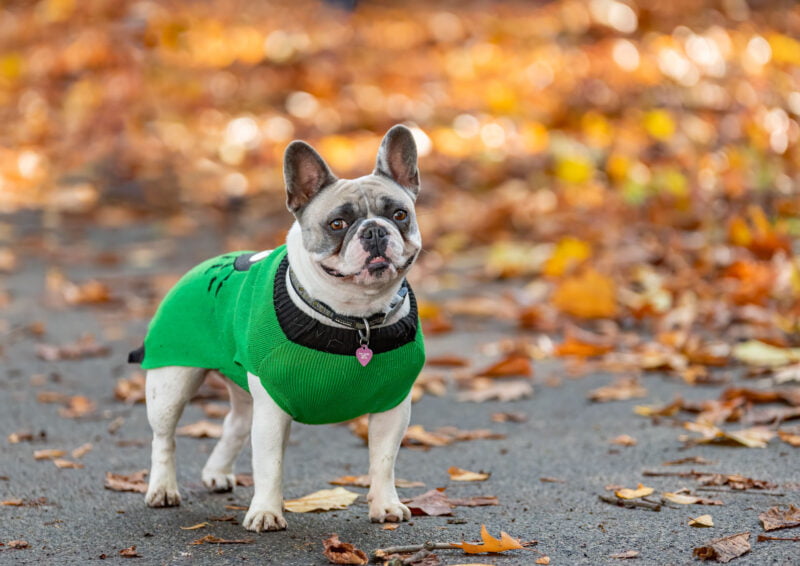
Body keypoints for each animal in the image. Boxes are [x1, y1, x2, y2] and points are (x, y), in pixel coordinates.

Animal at [130, 124, 424, 532]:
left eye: (399, 214)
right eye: (337, 224)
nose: (375, 231)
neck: (357, 318)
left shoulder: (392, 406)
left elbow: (383, 461)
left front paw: (386, 505)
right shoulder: (272, 410)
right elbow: (269, 465)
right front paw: (267, 512)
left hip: (243, 390)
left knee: (234, 425)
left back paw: (216, 472)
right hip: (171, 382)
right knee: (164, 438)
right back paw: (162, 489)